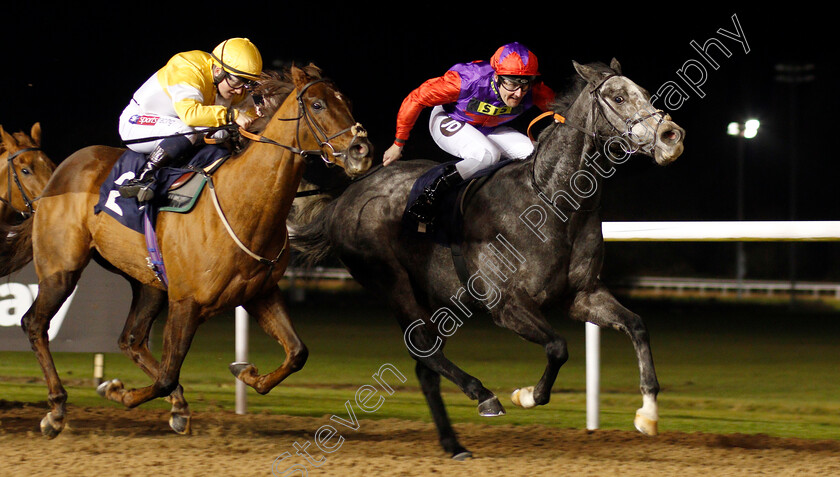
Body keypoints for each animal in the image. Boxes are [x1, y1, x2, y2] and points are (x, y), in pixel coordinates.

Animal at [0, 65, 370, 436]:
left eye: (348, 102)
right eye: (318, 104)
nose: (361, 149)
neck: (241, 202)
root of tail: (57, 177)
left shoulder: (259, 292)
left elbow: (296, 353)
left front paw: (246, 371)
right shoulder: (186, 302)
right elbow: (167, 374)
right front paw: (118, 392)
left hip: (147, 280)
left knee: (132, 340)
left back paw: (174, 403)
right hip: (61, 269)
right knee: (35, 323)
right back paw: (57, 408)